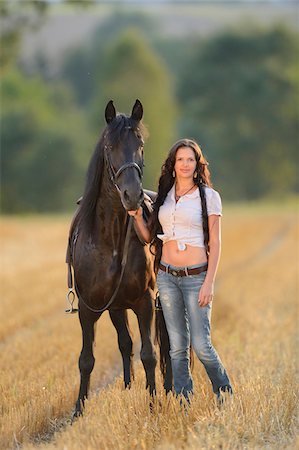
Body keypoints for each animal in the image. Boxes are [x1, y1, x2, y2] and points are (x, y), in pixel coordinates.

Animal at [67, 98, 172, 414]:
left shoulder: (145, 301)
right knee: (124, 342)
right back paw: (126, 386)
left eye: (140, 144)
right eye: (109, 146)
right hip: (115, 307)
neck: (109, 238)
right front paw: (79, 410)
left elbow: (149, 353)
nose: (132, 195)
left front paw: (152, 404)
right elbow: (86, 359)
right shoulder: (88, 308)